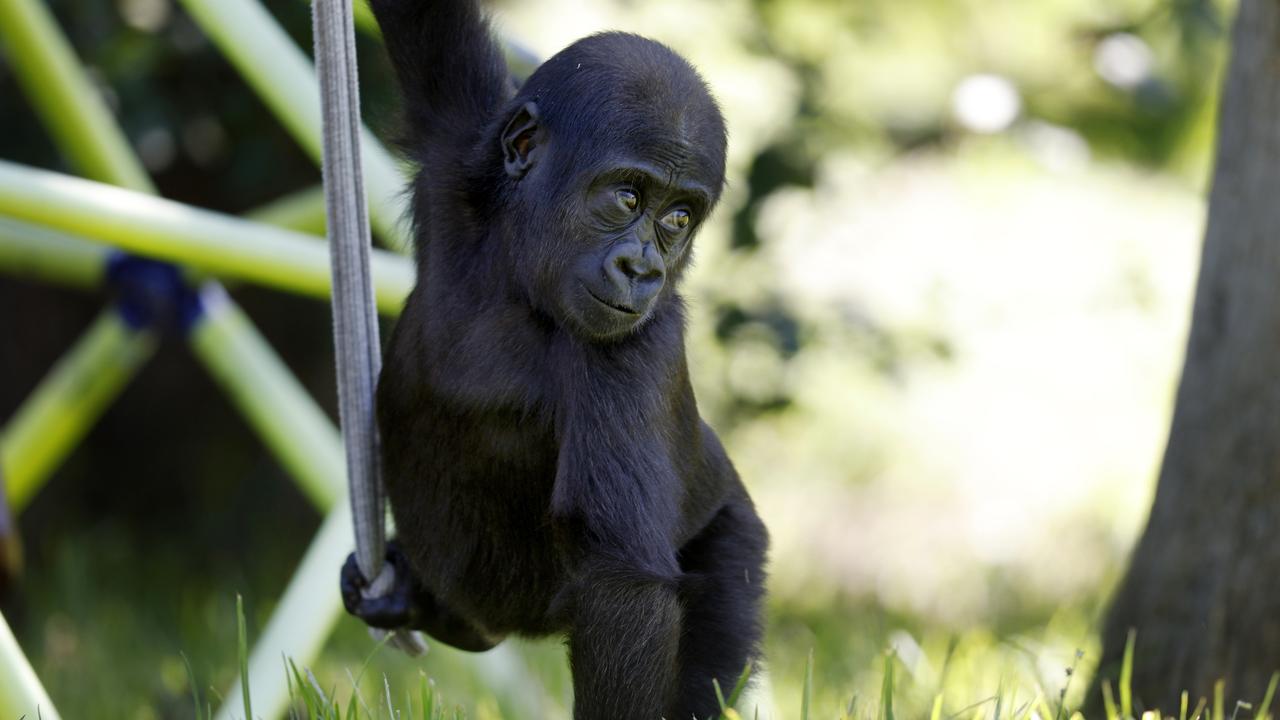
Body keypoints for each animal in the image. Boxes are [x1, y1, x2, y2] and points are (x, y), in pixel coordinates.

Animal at [337, 2, 768, 712]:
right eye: (629, 197)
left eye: (679, 217)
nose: (642, 270)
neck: (519, 276)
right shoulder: (459, 149)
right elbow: (426, 25)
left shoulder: (635, 349)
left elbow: (624, 590)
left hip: (734, 542)